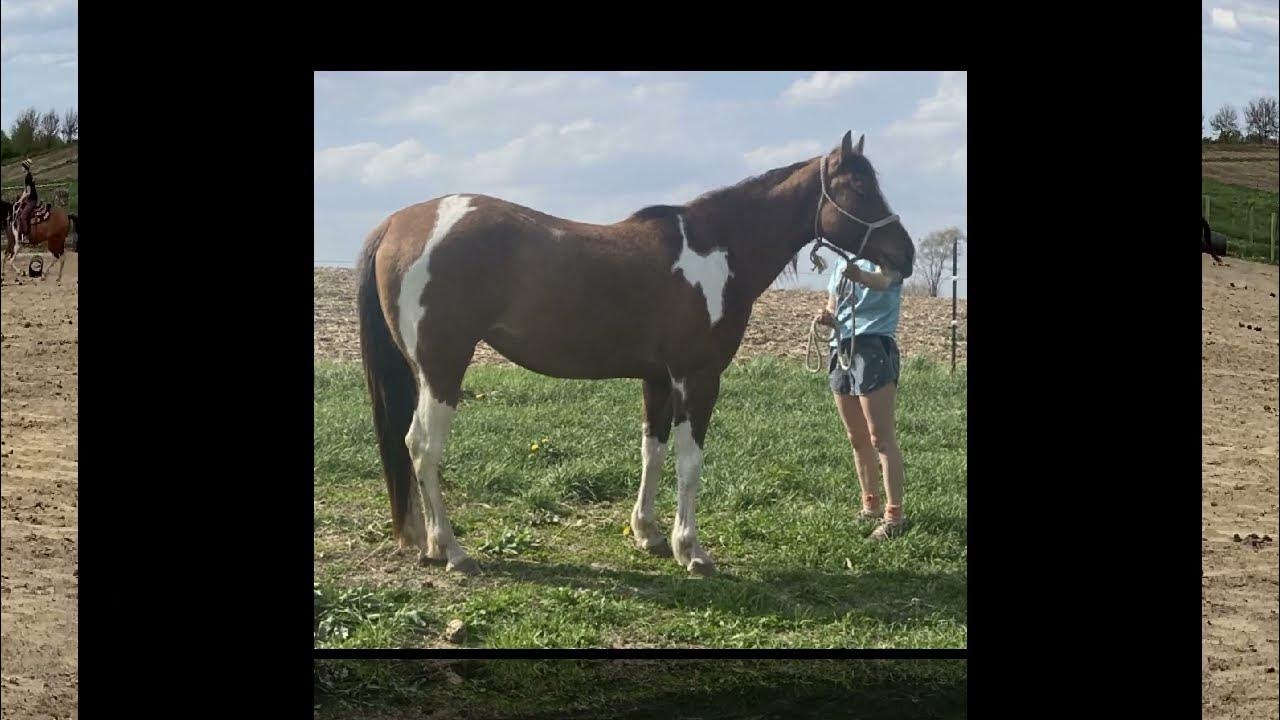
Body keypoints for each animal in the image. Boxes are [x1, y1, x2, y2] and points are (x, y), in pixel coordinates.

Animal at [356, 131, 915, 576]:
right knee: (422, 448)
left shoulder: (658, 380)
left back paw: (428, 543)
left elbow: (654, 451)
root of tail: (399, 223)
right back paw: (452, 550)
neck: (717, 251)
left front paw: (648, 533)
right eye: (860, 187)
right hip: (443, 369)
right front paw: (692, 550)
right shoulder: (696, 377)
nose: (905, 255)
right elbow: (690, 460)